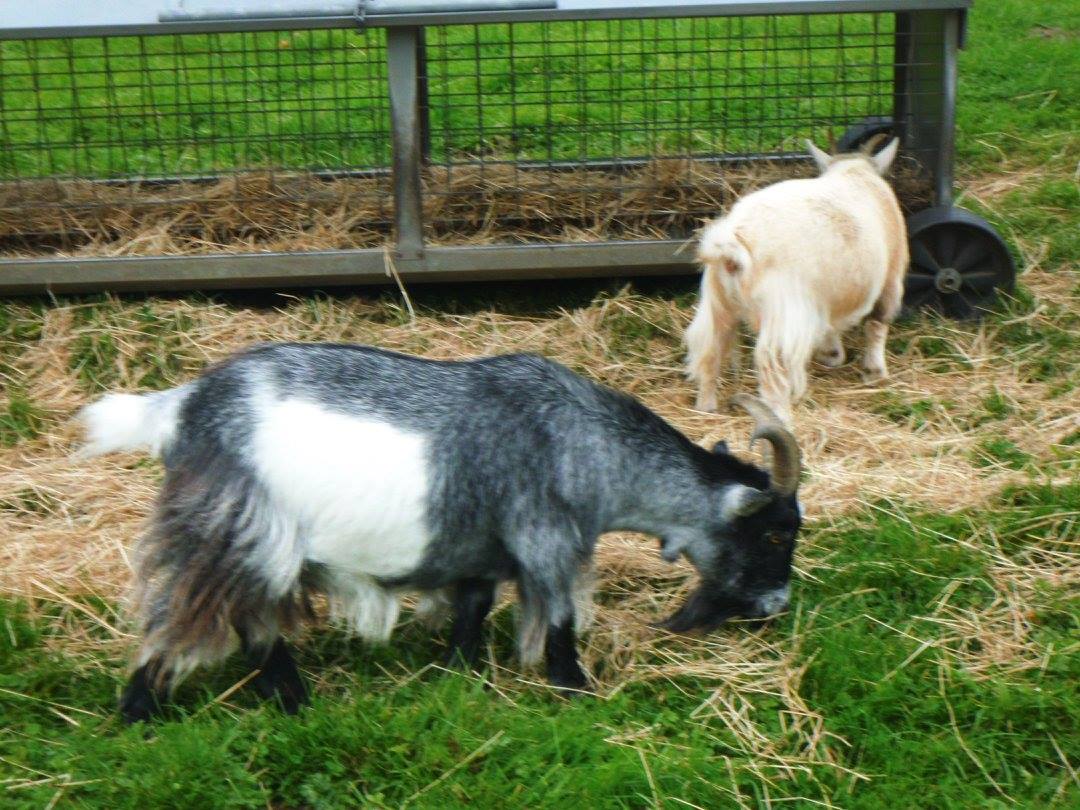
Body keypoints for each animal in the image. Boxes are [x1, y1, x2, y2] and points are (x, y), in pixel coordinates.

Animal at [78, 343, 803, 722]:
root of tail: (182, 409)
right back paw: (142, 713)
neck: (581, 445)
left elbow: (472, 611)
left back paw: (290, 699)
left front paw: (460, 675)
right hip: (236, 530)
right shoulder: (546, 539)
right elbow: (561, 617)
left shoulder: (482, 550)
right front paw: (575, 689)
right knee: (181, 617)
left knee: (252, 623)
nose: (776, 606)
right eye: (775, 535)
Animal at [685, 137, 908, 425]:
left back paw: (706, 406)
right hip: (782, 308)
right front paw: (874, 372)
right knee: (772, 363)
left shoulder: (824, 298)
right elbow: (878, 324)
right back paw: (780, 418)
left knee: (710, 349)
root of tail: (732, 245)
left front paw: (831, 355)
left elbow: (830, 326)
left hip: (717, 301)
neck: (854, 172)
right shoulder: (891, 276)